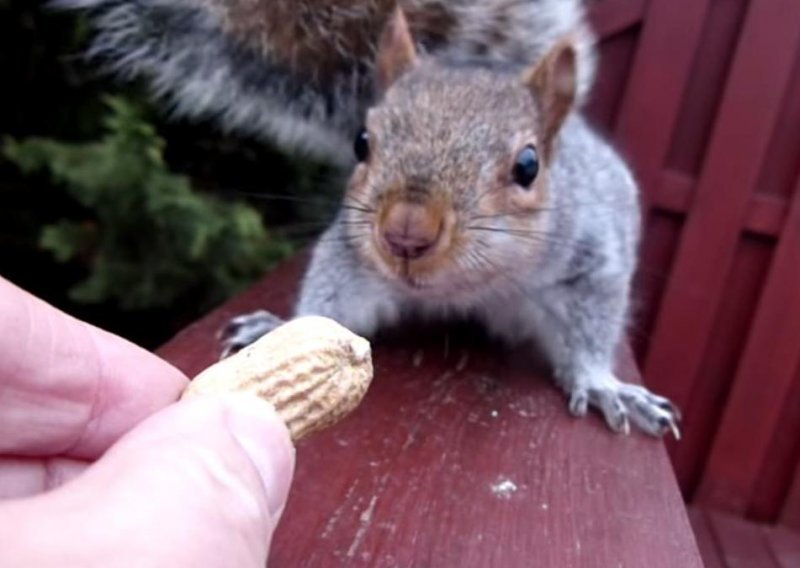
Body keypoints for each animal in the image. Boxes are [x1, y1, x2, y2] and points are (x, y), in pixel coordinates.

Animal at [72, 0, 680, 438]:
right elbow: (330, 304)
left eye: (528, 166)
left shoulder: (592, 262)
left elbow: (591, 328)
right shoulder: (351, 254)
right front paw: (277, 328)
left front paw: (603, 385)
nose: (405, 232)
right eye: (361, 142)